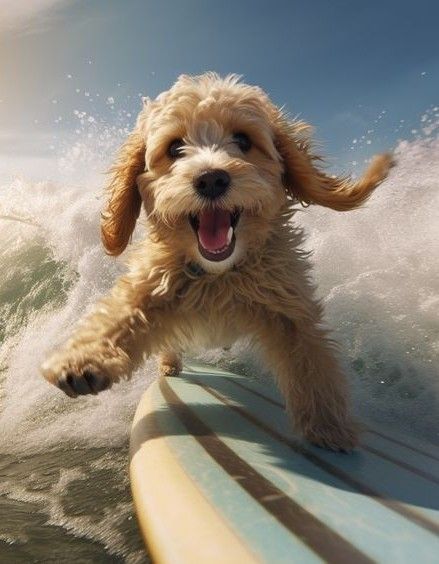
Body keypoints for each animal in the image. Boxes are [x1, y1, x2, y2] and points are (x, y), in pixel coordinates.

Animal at [40, 72, 392, 452]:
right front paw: (83, 360)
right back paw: (168, 365)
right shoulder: (153, 283)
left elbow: (311, 360)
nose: (211, 179)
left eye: (243, 140)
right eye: (174, 148)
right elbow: (117, 316)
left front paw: (329, 425)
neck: (219, 276)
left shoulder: (288, 303)